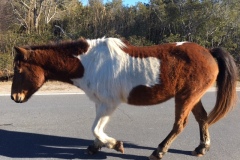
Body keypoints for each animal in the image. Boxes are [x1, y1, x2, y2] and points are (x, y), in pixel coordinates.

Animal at [10, 37, 237, 159]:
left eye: (19, 69)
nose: (14, 97)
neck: (90, 62)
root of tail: (208, 52)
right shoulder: (101, 104)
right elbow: (97, 129)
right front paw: (95, 147)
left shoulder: (108, 104)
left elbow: (96, 128)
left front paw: (115, 144)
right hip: (192, 96)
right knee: (202, 118)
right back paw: (201, 148)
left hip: (186, 97)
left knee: (180, 124)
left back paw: (159, 151)